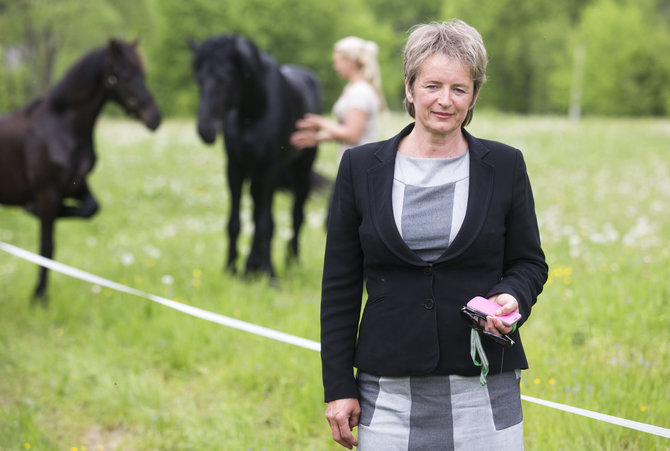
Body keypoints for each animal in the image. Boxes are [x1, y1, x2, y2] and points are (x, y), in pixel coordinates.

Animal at [0, 39, 162, 304]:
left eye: (143, 74)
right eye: (121, 75)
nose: (154, 117)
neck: (62, 128)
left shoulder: (77, 187)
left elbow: (91, 209)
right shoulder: (47, 194)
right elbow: (46, 247)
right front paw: (40, 298)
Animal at [192, 34, 322, 278]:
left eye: (224, 77)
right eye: (199, 79)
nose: (205, 129)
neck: (253, 111)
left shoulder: (269, 168)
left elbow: (265, 224)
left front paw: (269, 274)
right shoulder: (235, 168)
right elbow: (235, 222)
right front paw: (232, 269)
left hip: (302, 169)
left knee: (296, 215)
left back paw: (291, 262)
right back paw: (252, 266)